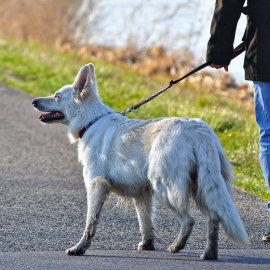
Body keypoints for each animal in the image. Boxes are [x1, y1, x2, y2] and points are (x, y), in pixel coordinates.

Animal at [32, 62, 249, 260]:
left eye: (57, 96)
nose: (34, 101)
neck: (91, 121)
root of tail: (199, 131)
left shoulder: (96, 185)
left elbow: (90, 222)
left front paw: (80, 248)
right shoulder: (142, 193)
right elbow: (145, 222)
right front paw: (148, 245)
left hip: (166, 187)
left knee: (189, 220)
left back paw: (177, 246)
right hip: (202, 187)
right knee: (214, 217)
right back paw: (209, 253)